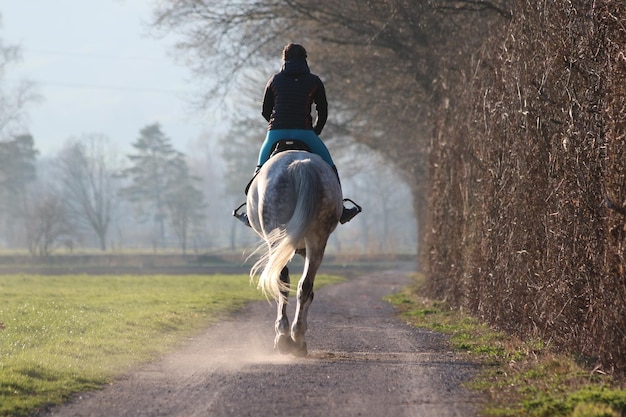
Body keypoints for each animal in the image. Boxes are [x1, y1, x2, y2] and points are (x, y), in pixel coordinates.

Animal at [245, 149, 342, 354]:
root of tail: (300, 165)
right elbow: (308, 290)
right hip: (317, 240)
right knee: (304, 286)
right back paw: (297, 337)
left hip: (277, 238)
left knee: (282, 282)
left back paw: (285, 336)